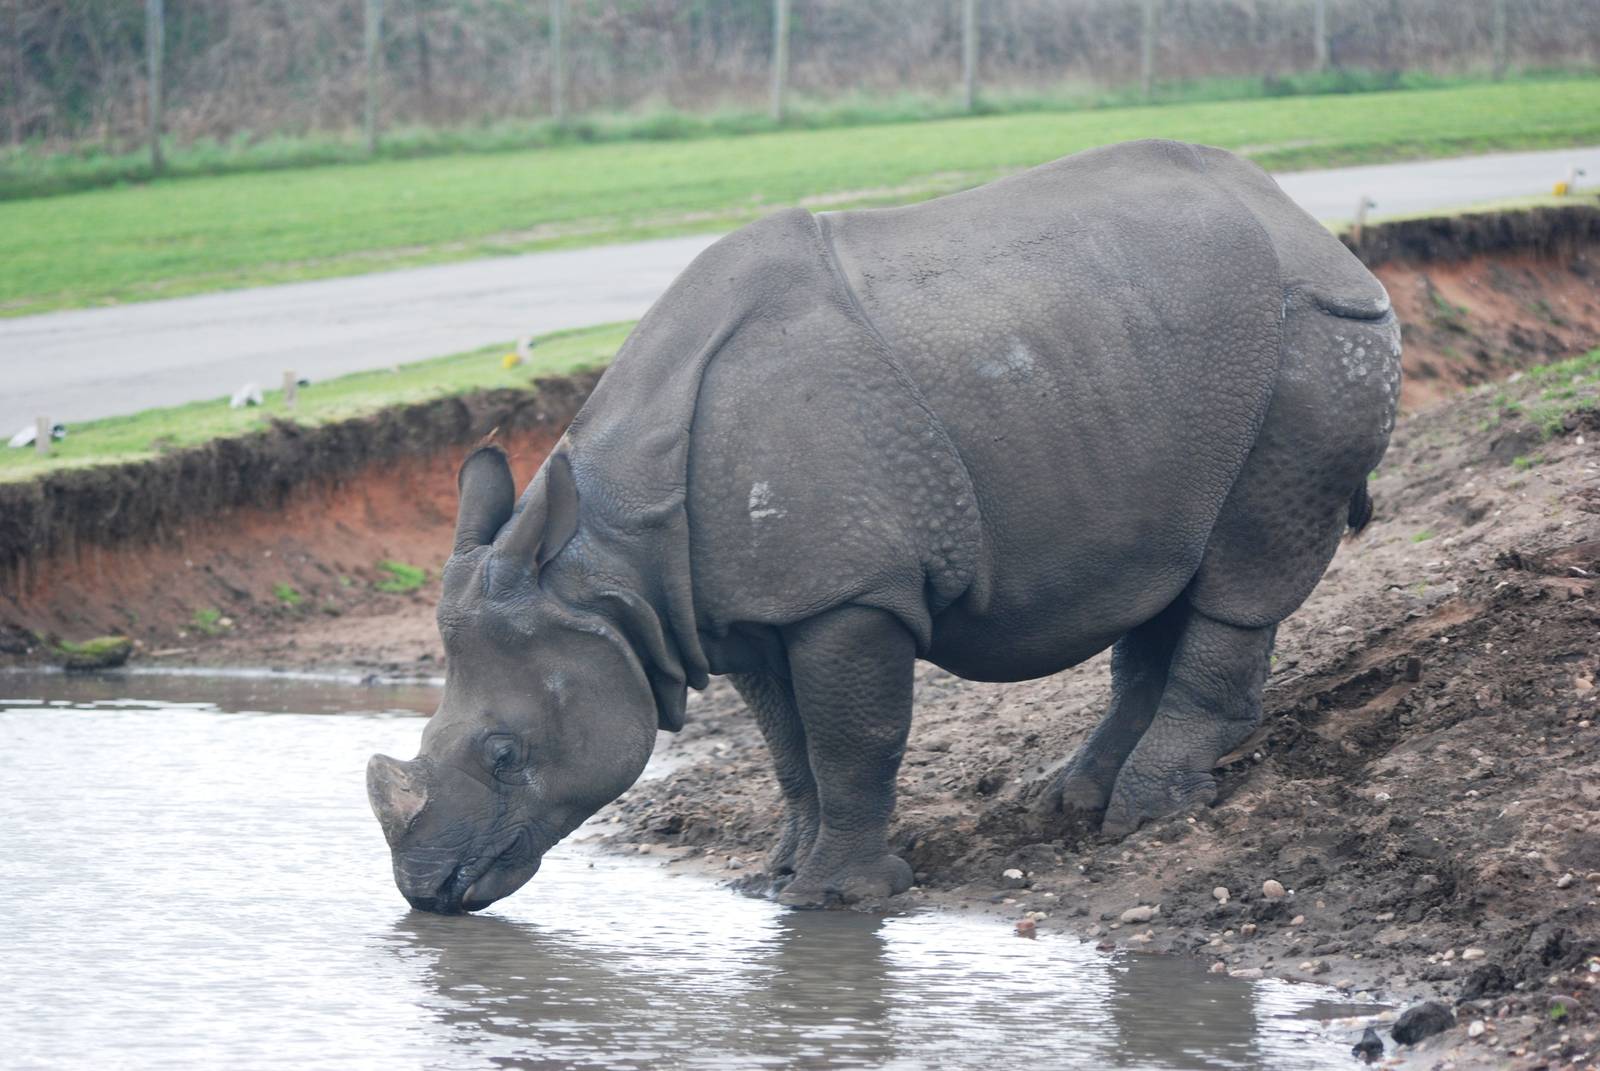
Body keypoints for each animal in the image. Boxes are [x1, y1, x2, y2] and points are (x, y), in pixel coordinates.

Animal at [367, 139, 1400, 913]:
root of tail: (1314, 231)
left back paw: (1144, 815)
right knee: (1168, 570)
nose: (428, 892)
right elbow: (790, 749)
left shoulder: (849, 592)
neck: (608, 564)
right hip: (1169, 361)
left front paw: (840, 897)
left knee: (1243, 569)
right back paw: (1074, 801)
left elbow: (852, 737)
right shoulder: (738, 609)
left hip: (1318, 338)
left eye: (505, 754)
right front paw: (777, 878)